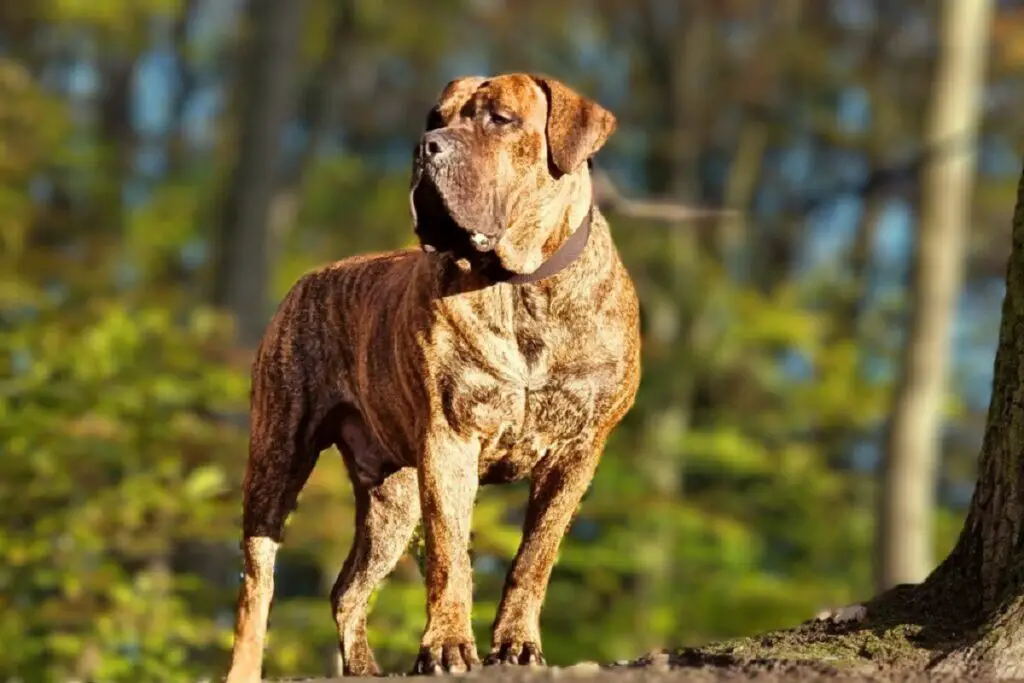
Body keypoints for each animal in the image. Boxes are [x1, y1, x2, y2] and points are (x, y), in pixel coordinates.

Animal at [225, 72, 638, 679]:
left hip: (392, 502)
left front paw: (516, 644)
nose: (426, 147)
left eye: (500, 119)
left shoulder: (577, 453)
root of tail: (308, 279)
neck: (521, 285)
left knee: (347, 589)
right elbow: (451, 555)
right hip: (277, 460)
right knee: (258, 585)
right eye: (434, 119)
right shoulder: (450, 441)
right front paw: (447, 646)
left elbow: (535, 556)